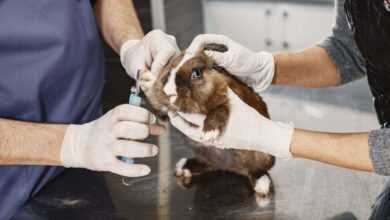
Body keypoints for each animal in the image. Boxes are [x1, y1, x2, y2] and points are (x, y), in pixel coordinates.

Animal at [139, 43, 276, 203]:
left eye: (196, 73)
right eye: (168, 73)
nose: (169, 92)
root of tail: (233, 168)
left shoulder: (228, 99)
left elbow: (221, 109)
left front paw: (209, 133)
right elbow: (159, 108)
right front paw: (146, 81)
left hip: (262, 156)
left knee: (257, 171)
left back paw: (262, 187)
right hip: (206, 155)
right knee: (209, 164)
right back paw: (184, 167)